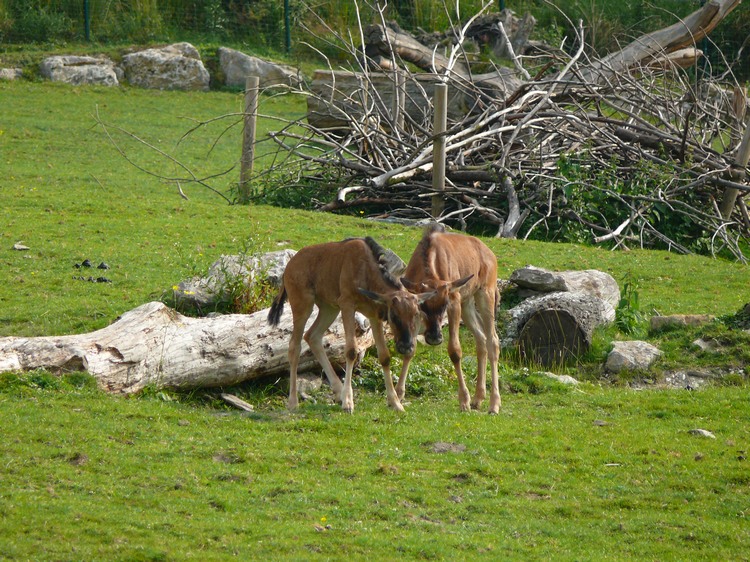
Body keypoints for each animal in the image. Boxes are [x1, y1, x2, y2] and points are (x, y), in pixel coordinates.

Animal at [270, 234, 434, 414]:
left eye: (416, 314)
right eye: (393, 315)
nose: (406, 346)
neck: (366, 271)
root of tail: (289, 267)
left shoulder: (373, 316)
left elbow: (384, 356)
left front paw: (395, 402)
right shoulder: (347, 305)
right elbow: (351, 351)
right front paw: (348, 402)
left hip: (329, 308)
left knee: (312, 336)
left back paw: (337, 391)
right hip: (303, 305)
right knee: (295, 346)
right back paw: (293, 402)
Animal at [402, 222, 502, 412]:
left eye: (444, 304)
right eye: (422, 305)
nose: (434, 337)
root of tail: (490, 254)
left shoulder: (454, 302)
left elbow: (455, 351)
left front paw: (463, 400)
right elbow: (410, 347)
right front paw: (397, 394)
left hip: (485, 294)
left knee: (493, 341)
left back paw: (494, 404)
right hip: (467, 303)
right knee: (481, 338)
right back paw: (478, 398)